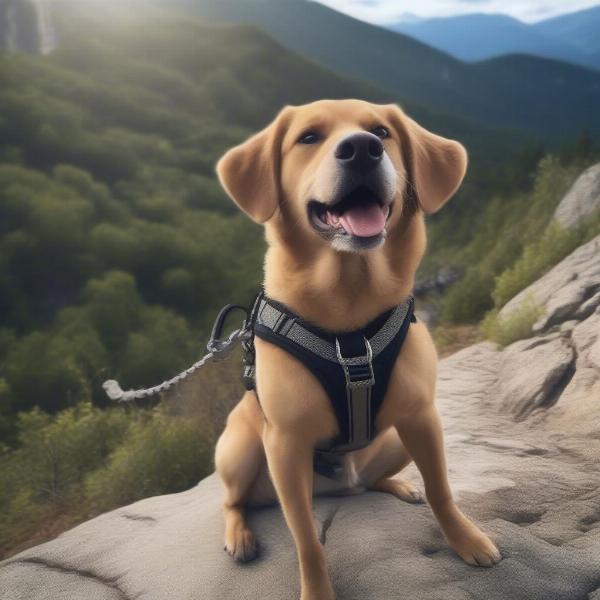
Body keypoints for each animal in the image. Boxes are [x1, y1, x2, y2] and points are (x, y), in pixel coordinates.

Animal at [213, 99, 500, 600]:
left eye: (382, 132)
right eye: (308, 137)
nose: (362, 149)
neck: (349, 317)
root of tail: (339, 490)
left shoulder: (423, 417)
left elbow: (442, 490)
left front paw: (466, 540)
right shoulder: (285, 445)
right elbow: (307, 540)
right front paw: (317, 591)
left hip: (396, 440)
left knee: (372, 482)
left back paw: (400, 485)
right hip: (240, 450)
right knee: (232, 502)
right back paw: (240, 534)